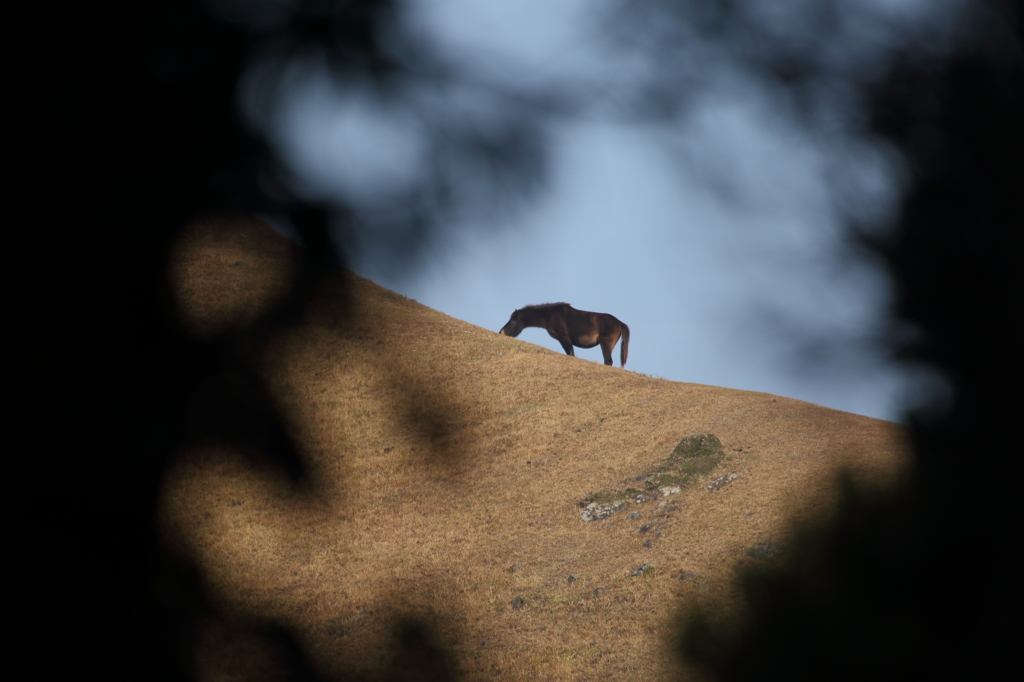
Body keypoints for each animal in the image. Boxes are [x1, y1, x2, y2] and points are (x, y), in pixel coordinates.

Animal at [497, 303, 626, 366]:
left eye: (512, 320)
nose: (501, 332)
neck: (551, 315)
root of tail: (619, 322)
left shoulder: (563, 337)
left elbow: (570, 353)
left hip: (605, 345)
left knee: (608, 361)